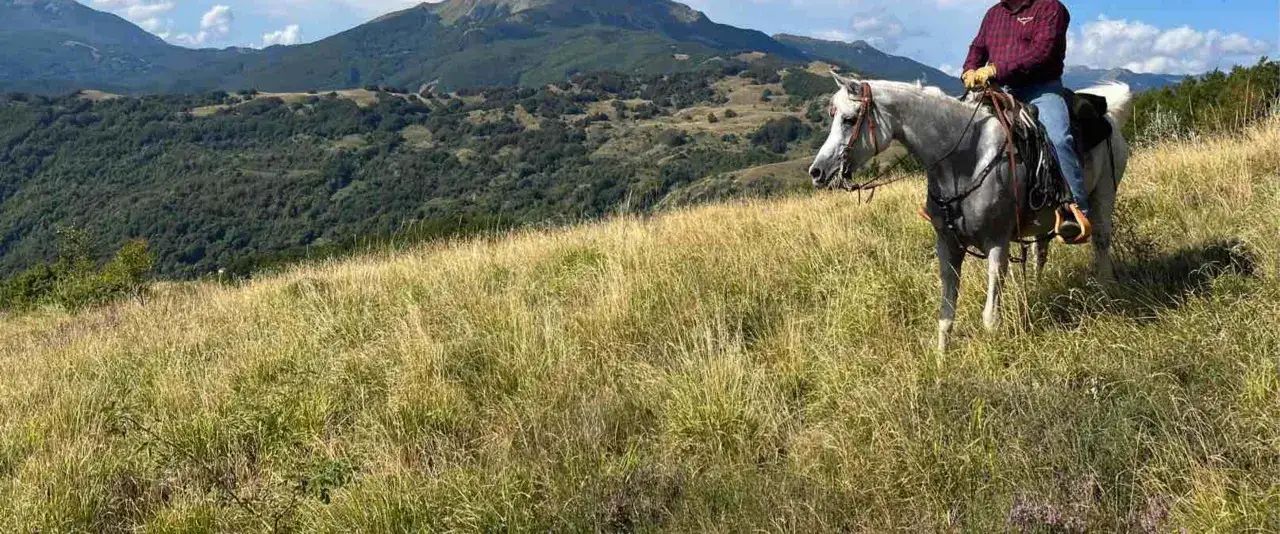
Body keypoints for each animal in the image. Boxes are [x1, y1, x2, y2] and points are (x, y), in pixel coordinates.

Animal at [808, 73, 1133, 351]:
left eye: (849, 119)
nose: (817, 171)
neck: (965, 160)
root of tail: (1107, 114)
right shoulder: (947, 246)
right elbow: (946, 315)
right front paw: (941, 360)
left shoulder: (997, 244)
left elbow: (990, 318)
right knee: (1040, 253)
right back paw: (1033, 293)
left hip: (1104, 195)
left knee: (1101, 242)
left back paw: (1105, 293)